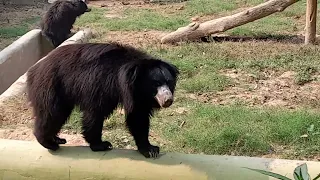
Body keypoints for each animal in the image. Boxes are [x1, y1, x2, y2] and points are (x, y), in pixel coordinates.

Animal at [25, 41, 180, 158]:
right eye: (155, 84)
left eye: (168, 82)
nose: (168, 100)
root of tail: (35, 69)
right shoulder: (101, 83)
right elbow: (95, 112)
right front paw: (101, 145)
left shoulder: (138, 95)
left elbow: (138, 117)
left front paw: (150, 149)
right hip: (51, 86)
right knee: (52, 113)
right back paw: (49, 142)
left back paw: (56, 138)